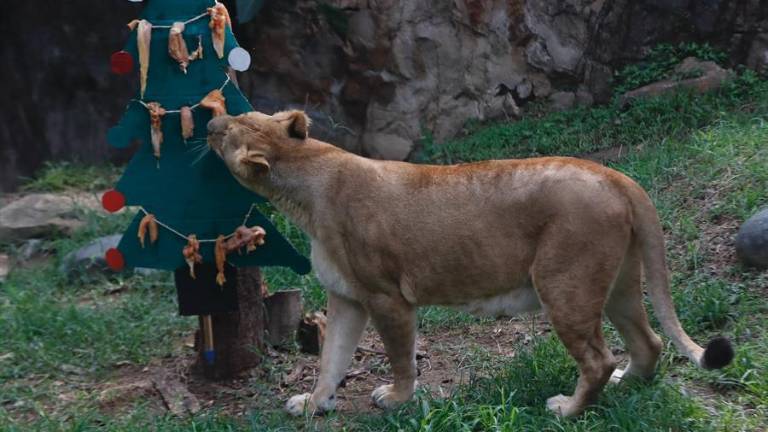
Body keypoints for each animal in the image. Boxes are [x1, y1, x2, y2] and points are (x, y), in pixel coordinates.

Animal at [207, 110, 734, 418]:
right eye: (240, 113)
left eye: (231, 126)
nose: (208, 120)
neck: (307, 182)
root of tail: (615, 175)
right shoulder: (346, 298)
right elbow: (330, 360)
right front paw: (314, 403)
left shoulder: (387, 297)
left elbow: (400, 356)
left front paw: (396, 399)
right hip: (619, 283)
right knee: (649, 342)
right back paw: (629, 383)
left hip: (565, 285)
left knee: (599, 359)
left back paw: (567, 409)